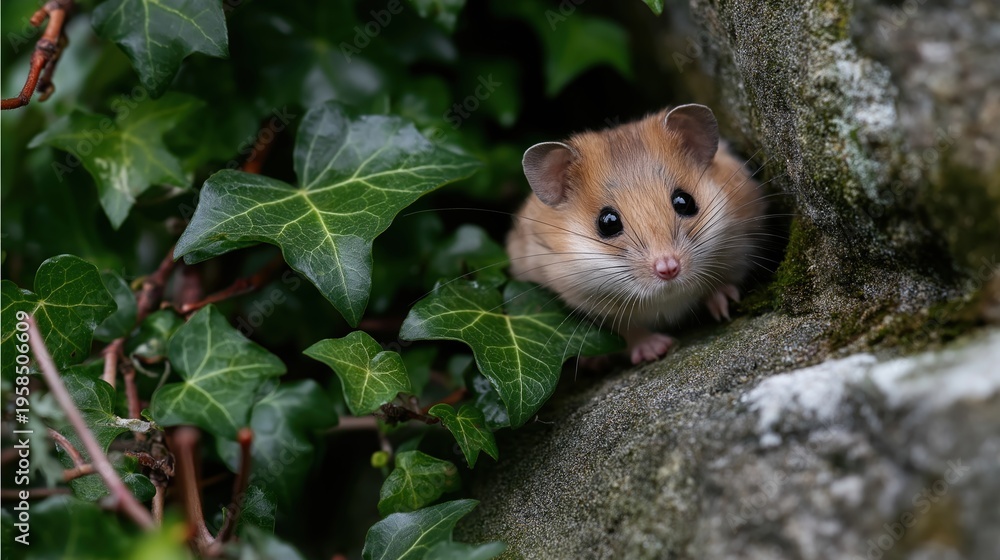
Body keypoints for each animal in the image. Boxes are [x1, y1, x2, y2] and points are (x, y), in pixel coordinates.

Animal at [505, 104, 767, 364]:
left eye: (685, 201)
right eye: (607, 223)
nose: (668, 269)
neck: (667, 297)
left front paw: (726, 304)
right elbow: (627, 333)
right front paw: (657, 349)